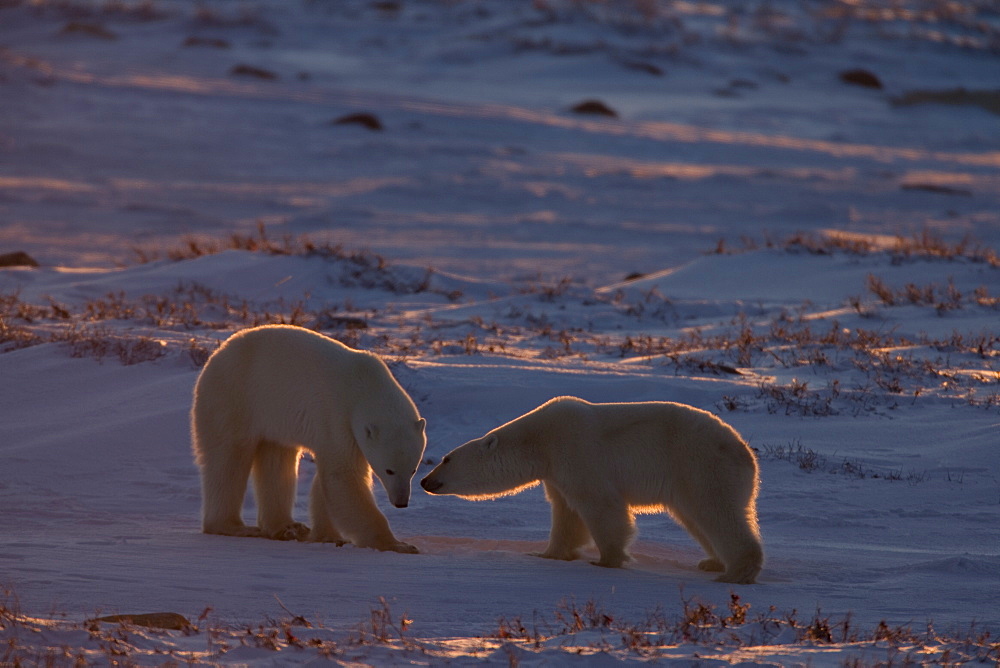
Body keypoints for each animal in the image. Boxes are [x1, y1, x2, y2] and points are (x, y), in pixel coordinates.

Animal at [191, 324, 426, 552]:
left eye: (413, 470)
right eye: (389, 470)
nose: (401, 502)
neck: (365, 384)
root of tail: (217, 354)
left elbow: (327, 481)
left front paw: (329, 535)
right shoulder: (336, 416)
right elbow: (343, 475)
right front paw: (398, 545)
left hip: (274, 418)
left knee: (277, 458)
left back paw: (287, 527)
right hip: (233, 397)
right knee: (229, 456)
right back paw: (234, 527)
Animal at [418, 396, 760, 584]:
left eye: (446, 458)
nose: (425, 481)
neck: (540, 439)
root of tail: (745, 452)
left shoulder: (576, 451)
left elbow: (600, 506)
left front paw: (606, 560)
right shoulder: (555, 471)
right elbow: (566, 514)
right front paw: (548, 553)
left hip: (700, 464)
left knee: (717, 512)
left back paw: (735, 572)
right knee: (698, 518)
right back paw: (712, 562)